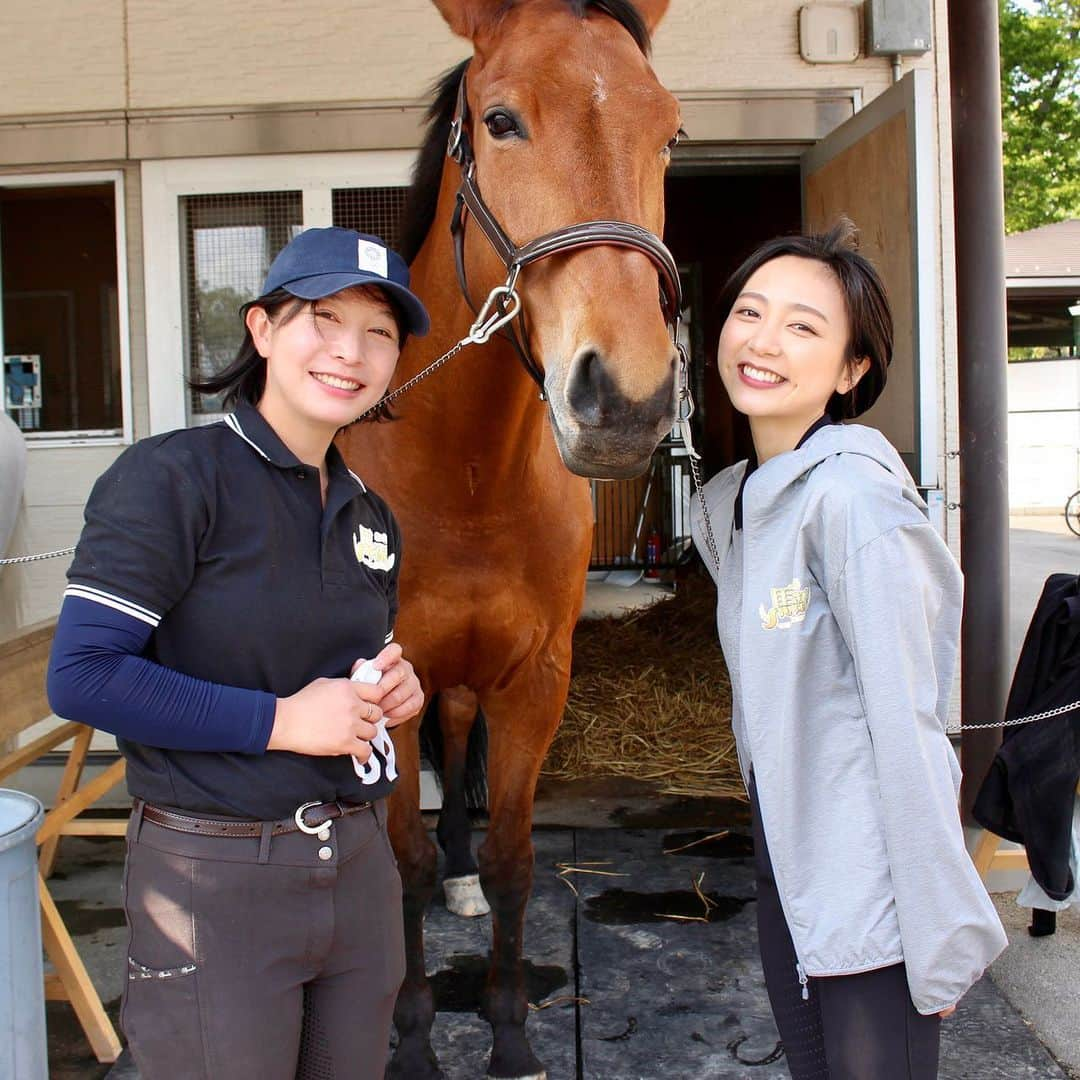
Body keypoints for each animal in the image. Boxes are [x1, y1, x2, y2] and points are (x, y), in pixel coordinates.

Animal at [341, 4, 678, 1075]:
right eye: (500, 121)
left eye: (671, 133)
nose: (626, 401)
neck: (467, 477)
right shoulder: (387, 680)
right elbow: (398, 862)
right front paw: (411, 1042)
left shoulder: (535, 679)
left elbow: (514, 859)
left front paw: (513, 1038)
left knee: (458, 750)